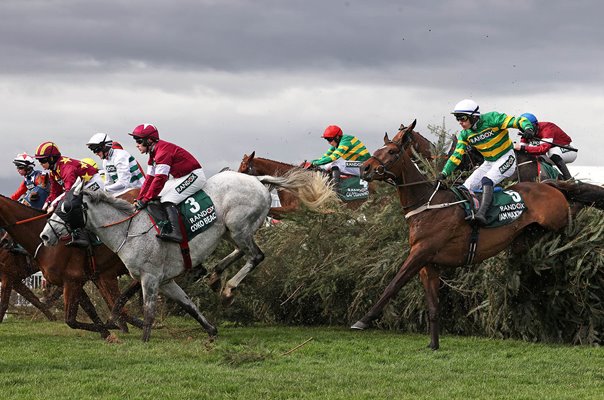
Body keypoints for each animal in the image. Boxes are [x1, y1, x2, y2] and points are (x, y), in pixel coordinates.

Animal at [0, 192, 142, 340]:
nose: (5, 242)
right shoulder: (76, 280)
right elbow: (88, 310)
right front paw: (107, 331)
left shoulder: (73, 279)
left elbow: (70, 319)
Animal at [350, 119, 604, 350]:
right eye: (377, 150)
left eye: (392, 152)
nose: (364, 168)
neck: (427, 204)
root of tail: (549, 185)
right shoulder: (428, 264)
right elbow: (432, 306)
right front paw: (433, 344)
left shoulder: (421, 252)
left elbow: (394, 284)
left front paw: (363, 320)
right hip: (527, 237)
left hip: (557, 219)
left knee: (575, 205)